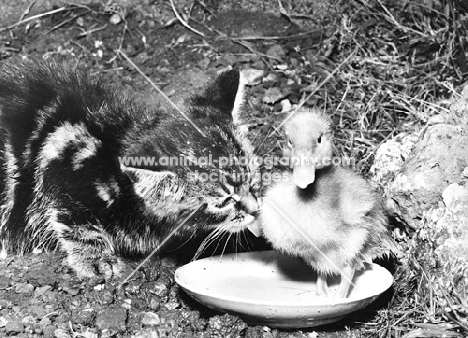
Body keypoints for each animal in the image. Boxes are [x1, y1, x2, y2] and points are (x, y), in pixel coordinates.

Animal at [0, 58, 260, 278]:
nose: (256, 210)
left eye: (253, 181)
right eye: (224, 202)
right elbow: (76, 223)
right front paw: (95, 259)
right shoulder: (61, 176)